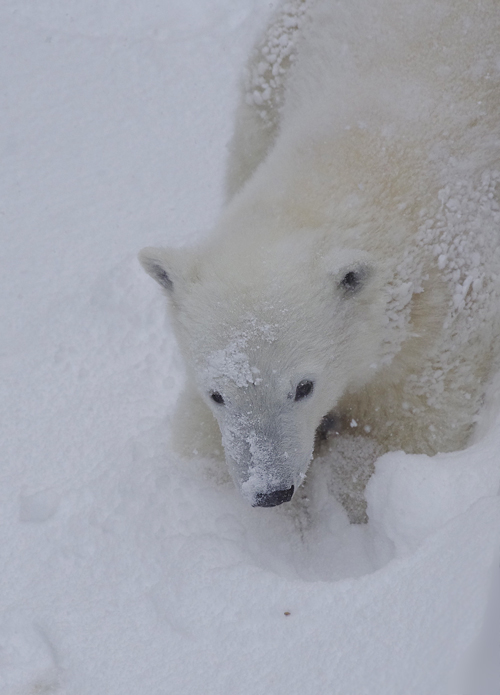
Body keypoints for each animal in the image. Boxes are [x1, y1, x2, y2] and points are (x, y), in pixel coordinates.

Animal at [140, 0, 500, 512]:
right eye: (218, 393)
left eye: (303, 386)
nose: (270, 491)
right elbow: (197, 437)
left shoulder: (441, 324)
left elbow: (396, 438)